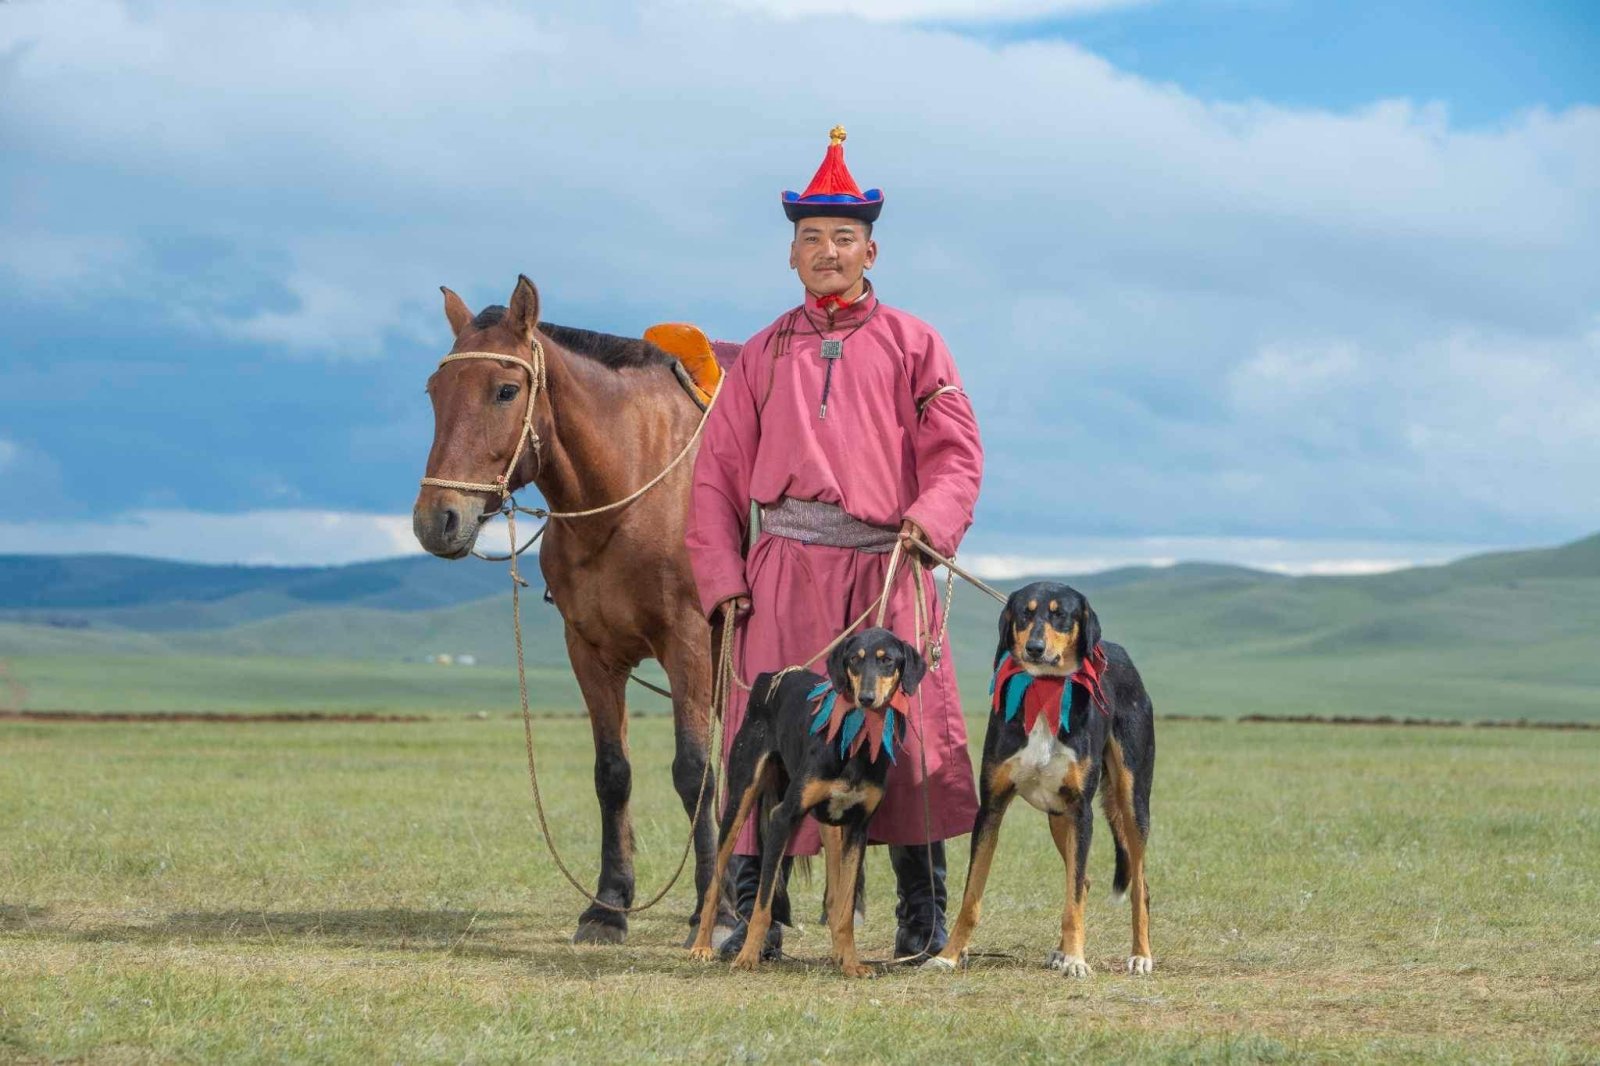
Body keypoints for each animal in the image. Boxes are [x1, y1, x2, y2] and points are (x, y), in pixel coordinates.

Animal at [419, 273, 726, 941]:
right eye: (433, 392)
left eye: (506, 390)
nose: (437, 520)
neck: (628, 494)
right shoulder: (589, 649)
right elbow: (612, 774)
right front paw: (609, 906)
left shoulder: (688, 642)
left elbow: (695, 772)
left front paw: (715, 914)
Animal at [688, 627, 928, 973]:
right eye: (854, 660)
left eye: (888, 661)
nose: (866, 698)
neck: (855, 737)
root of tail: (771, 677)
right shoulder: (782, 817)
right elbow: (763, 904)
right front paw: (747, 957)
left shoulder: (858, 828)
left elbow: (845, 908)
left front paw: (851, 964)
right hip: (740, 796)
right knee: (715, 882)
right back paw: (702, 946)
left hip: (831, 828)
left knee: (834, 897)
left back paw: (838, 954)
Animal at [921, 582, 1158, 973]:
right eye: (1024, 613)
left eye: (1060, 615)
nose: (1034, 647)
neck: (1045, 690)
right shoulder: (991, 807)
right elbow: (971, 897)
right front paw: (948, 956)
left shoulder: (1082, 811)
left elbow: (1073, 900)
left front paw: (1077, 960)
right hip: (1058, 816)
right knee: (1085, 880)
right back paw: (1062, 951)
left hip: (1131, 801)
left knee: (1139, 885)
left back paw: (1140, 955)